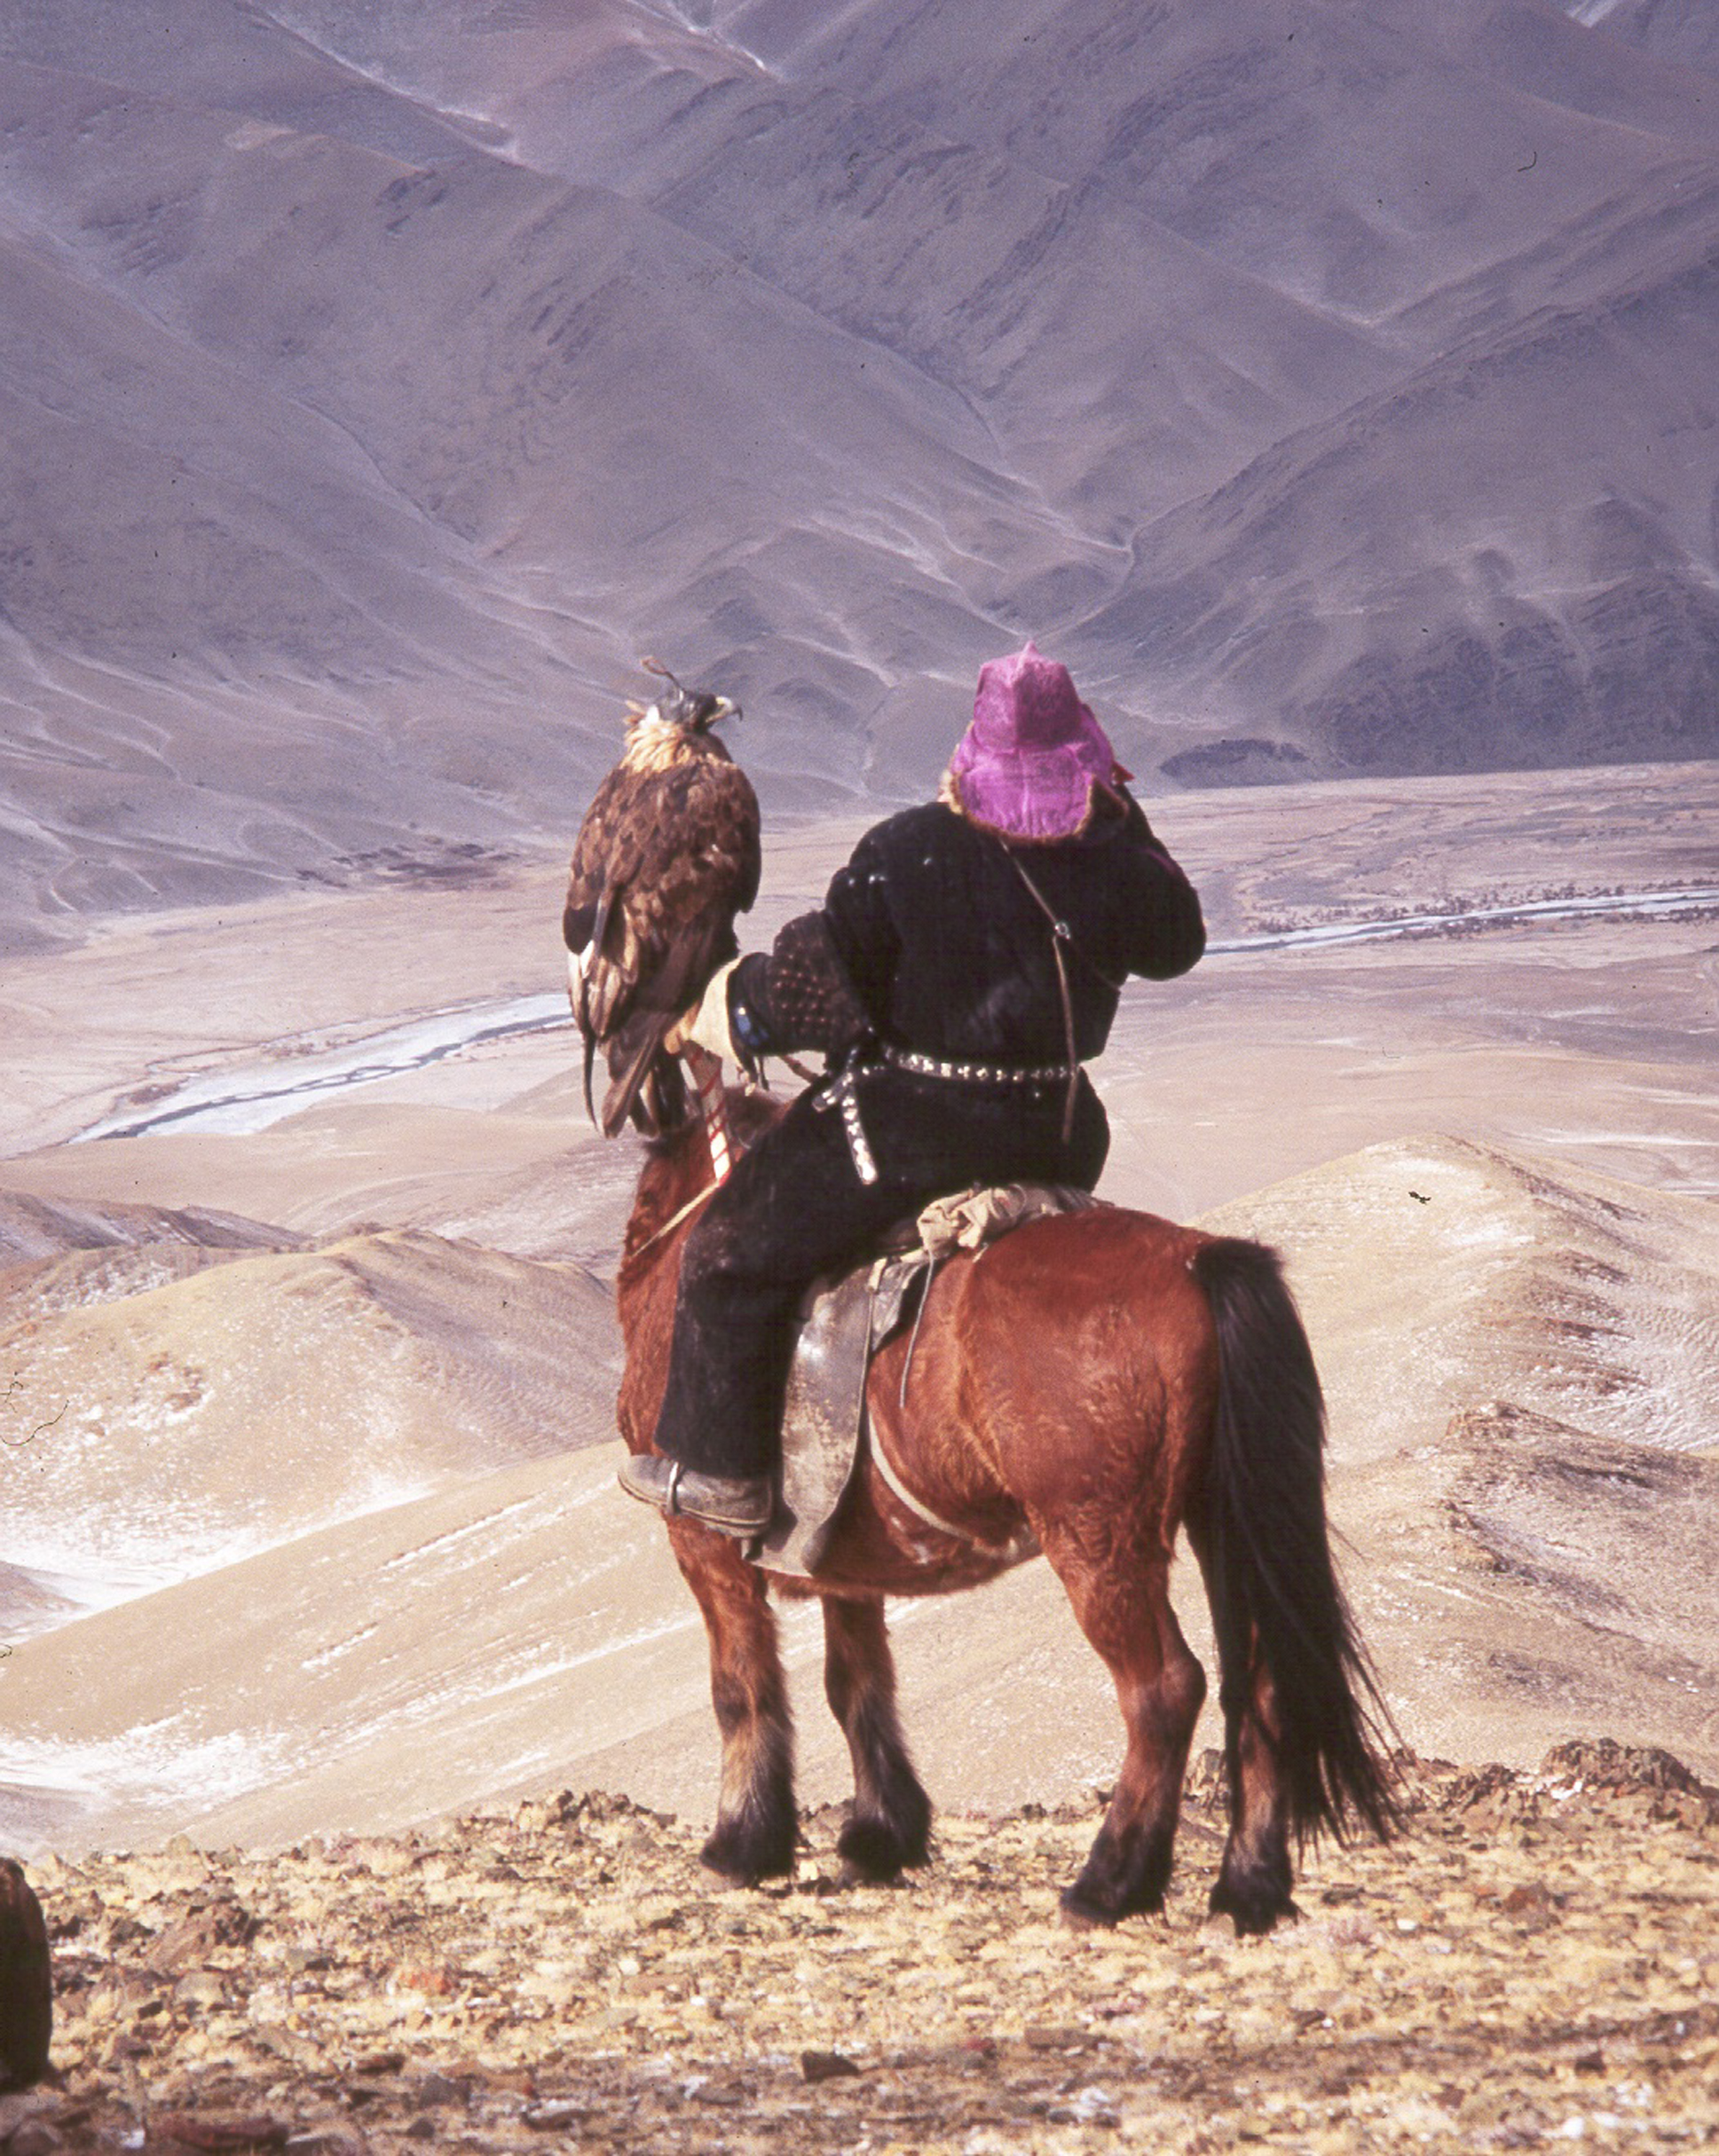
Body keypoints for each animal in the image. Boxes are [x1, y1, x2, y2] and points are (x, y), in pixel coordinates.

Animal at [617, 1086, 1397, 1932]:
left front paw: (742, 1845)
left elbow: (739, 1685)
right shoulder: (844, 1563)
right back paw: (1247, 1888)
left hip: (1097, 1542)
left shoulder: (701, 1542)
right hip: (1219, 1522)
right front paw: (881, 1836)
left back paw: (1108, 1884)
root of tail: (1198, 1260)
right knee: (1256, 1684)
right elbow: (855, 1682)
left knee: (1163, 1689)